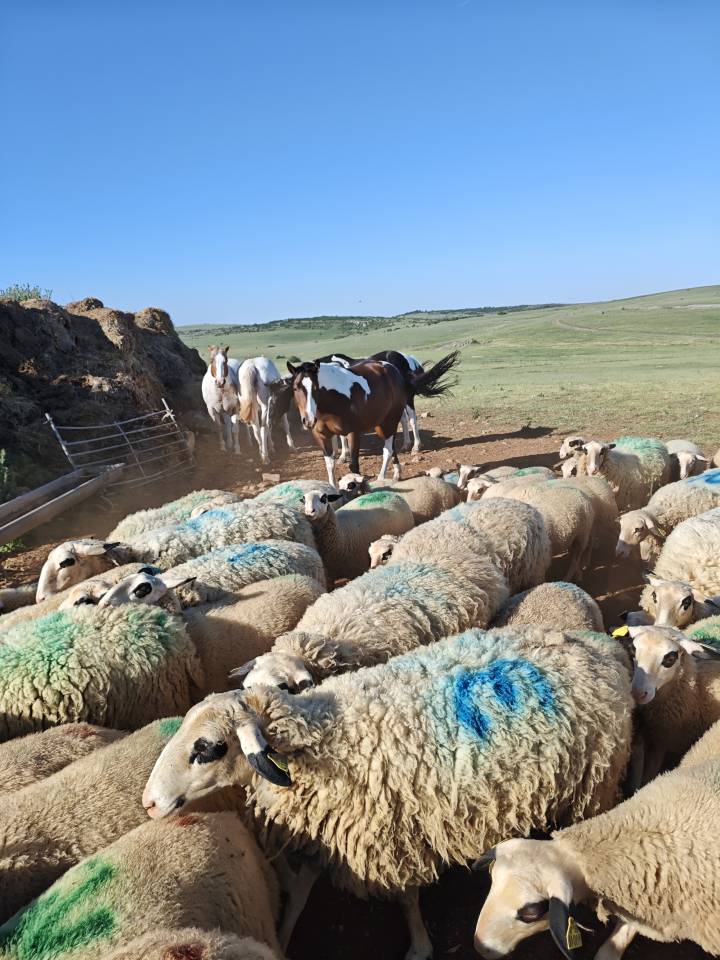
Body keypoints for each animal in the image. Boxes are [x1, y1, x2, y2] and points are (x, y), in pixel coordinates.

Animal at [286, 351, 459, 486]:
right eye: (295, 388)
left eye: (316, 388)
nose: (308, 420)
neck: (334, 399)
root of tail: (395, 370)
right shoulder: (321, 435)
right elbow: (330, 464)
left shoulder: (353, 432)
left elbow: (354, 466)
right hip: (382, 423)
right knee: (393, 445)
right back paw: (397, 472)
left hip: (391, 419)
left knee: (392, 444)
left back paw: (387, 474)